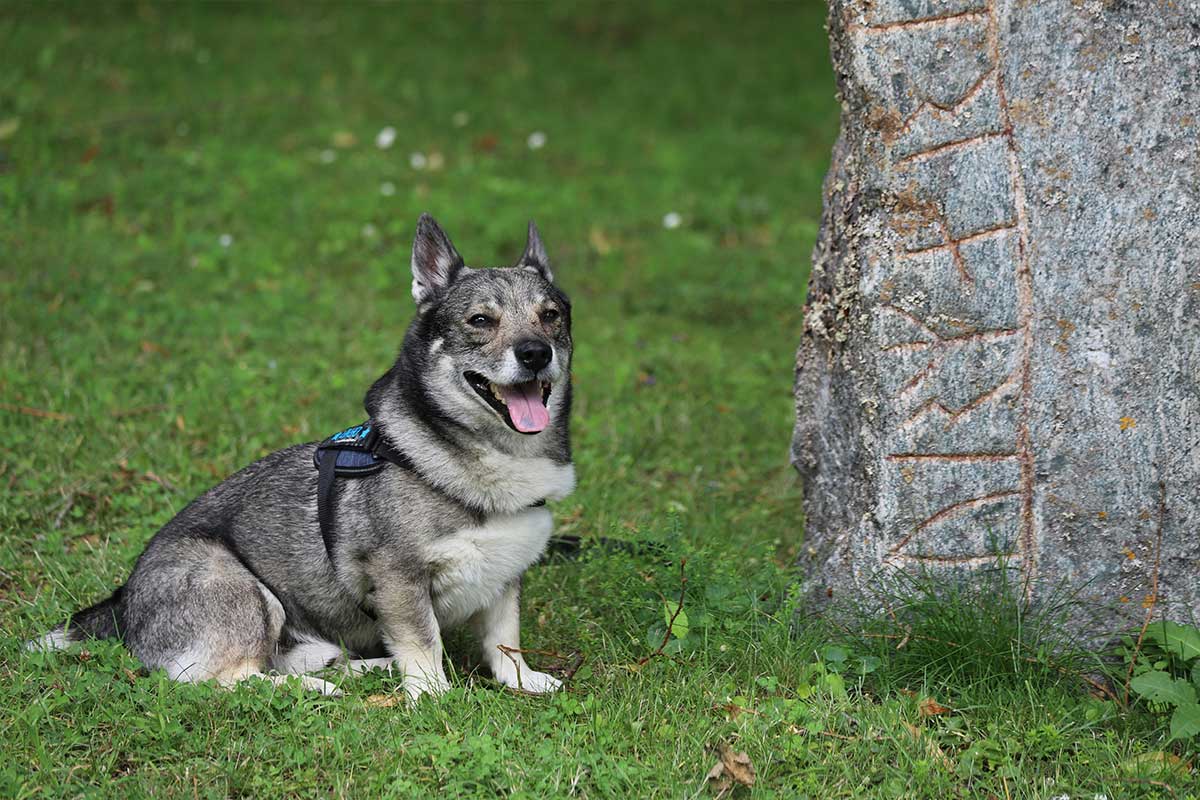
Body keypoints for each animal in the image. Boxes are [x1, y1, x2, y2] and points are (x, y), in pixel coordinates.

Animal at [27, 215, 571, 695]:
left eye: (551, 316)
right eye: (480, 321)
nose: (535, 353)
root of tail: (124, 602)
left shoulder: (504, 581)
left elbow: (504, 641)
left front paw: (521, 681)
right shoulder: (399, 581)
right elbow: (424, 644)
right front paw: (432, 696)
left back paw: (367, 669)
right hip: (245, 591)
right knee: (227, 680)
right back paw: (316, 690)